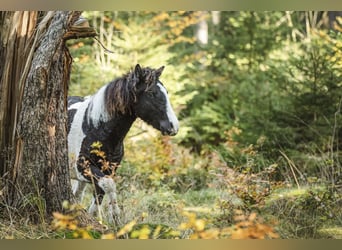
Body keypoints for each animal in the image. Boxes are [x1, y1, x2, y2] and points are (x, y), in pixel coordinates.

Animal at [66, 64, 179, 223]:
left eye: (166, 92)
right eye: (151, 93)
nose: (174, 126)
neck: (94, 126)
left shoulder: (109, 170)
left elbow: (100, 194)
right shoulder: (83, 167)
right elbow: (109, 185)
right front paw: (115, 217)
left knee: (78, 194)